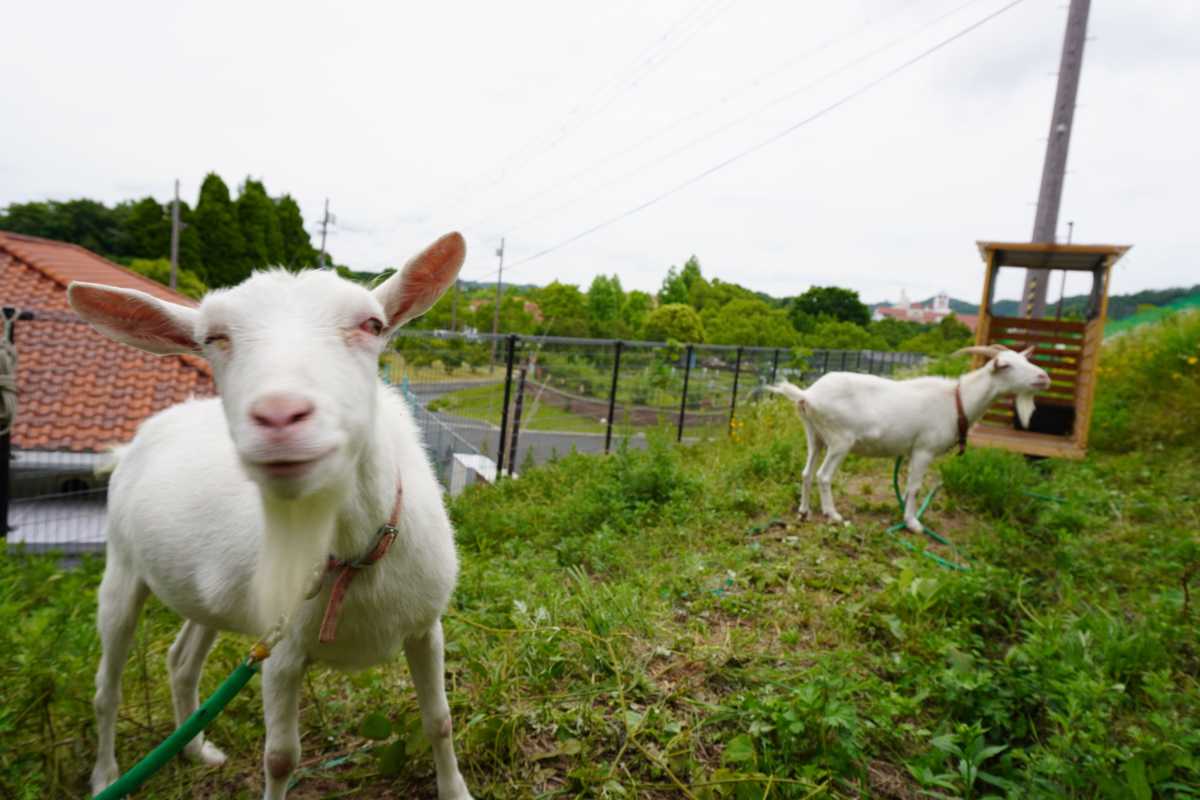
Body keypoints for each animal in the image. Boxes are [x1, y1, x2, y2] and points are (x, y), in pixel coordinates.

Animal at [68, 232, 472, 800]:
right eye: (213, 337)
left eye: (372, 325)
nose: (280, 415)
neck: (349, 560)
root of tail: (137, 440)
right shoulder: (281, 652)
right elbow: (281, 758)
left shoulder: (424, 626)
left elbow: (440, 720)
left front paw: (456, 789)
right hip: (122, 570)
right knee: (107, 686)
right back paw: (106, 774)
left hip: (209, 592)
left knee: (181, 661)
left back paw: (196, 749)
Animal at [772, 347, 1046, 534]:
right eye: (1007, 365)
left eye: (1026, 360)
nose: (1044, 377)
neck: (956, 402)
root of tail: (808, 395)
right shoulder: (924, 449)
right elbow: (915, 487)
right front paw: (913, 523)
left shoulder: (911, 450)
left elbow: (905, 487)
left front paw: (905, 512)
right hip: (841, 441)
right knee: (823, 475)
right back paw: (833, 514)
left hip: (815, 435)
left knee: (807, 472)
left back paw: (804, 511)